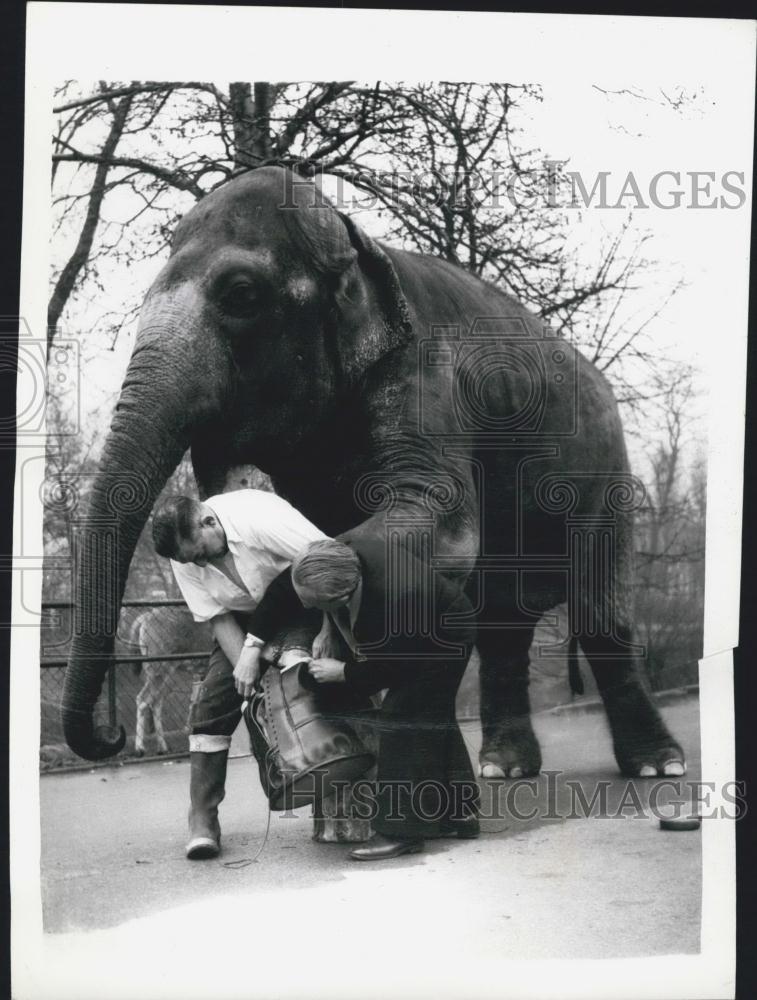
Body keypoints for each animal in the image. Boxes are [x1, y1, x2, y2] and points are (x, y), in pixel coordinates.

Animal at [60, 162, 684, 780]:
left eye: (241, 294)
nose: (110, 737)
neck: (359, 241)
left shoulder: (424, 374)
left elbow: (437, 524)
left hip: (607, 475)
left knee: (599, 611)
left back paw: (657, 766)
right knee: (502, 624)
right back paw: (503, 768)